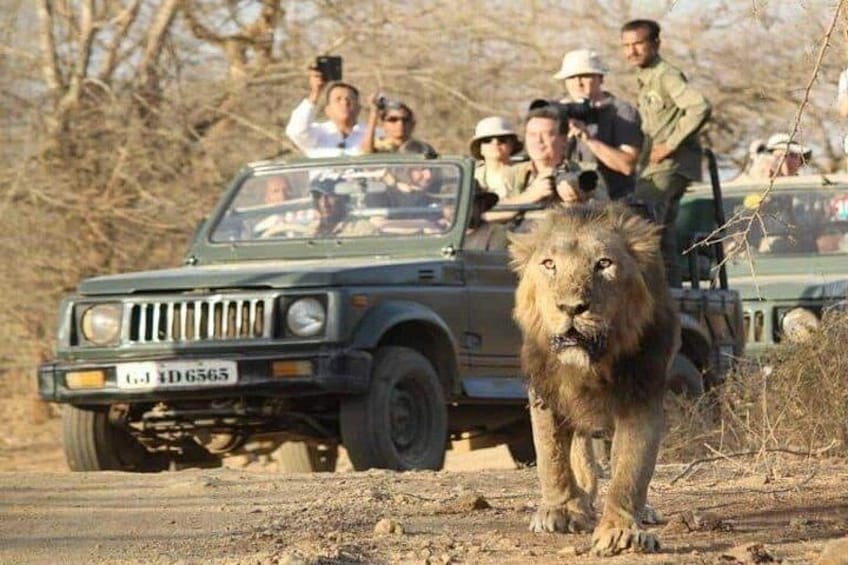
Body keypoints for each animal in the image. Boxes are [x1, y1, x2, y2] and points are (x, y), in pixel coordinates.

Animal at [508, 202, 679, 557]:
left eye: (604, 264)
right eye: (549, 264)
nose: (571, 307)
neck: (590, 366)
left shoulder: (642, 394)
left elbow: (630, 471)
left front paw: (621, 531)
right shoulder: (545, 390)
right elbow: (551, 456)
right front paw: (559, 510)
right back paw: (580, 500)